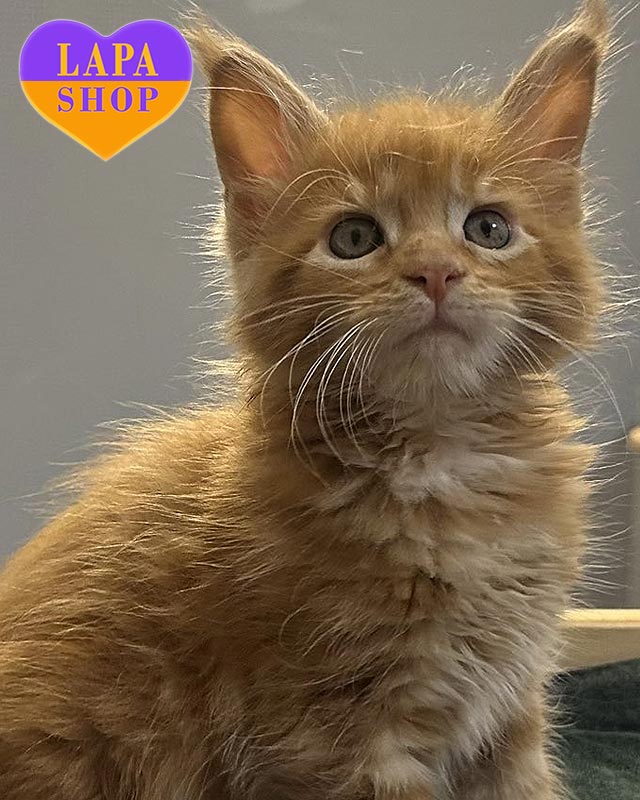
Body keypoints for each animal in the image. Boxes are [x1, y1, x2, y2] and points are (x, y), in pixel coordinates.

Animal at [0, 1, 613, 798]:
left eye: (488, 228)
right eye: (353, 237)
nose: (436, 272)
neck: (443, 455)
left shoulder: (511, 702)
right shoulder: (337, 730)